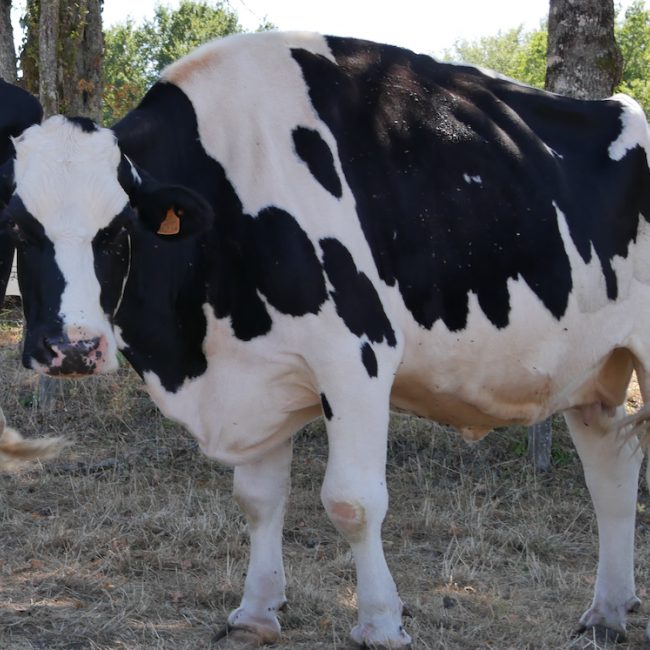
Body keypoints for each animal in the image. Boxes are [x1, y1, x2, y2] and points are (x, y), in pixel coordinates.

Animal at [0, 31, 649, 646]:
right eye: (18, 227)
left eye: (118, 230)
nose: (73, 348)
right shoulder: (253, 370)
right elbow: (257, 498)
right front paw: (256, 613)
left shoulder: (356, 355)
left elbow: (353, 501)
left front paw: (382, 624)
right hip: (594, 369)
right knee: (612, 470)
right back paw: (606, 613)